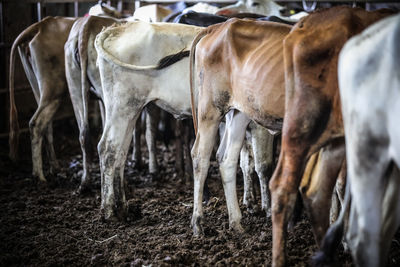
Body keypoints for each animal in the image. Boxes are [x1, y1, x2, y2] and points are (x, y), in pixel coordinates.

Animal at [9, 16, 77, 182]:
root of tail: (41, 24)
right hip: (53, 89)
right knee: (36, 123)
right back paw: (39, 175)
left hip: (38, 88)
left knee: (46, 125)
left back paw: (54, 167)